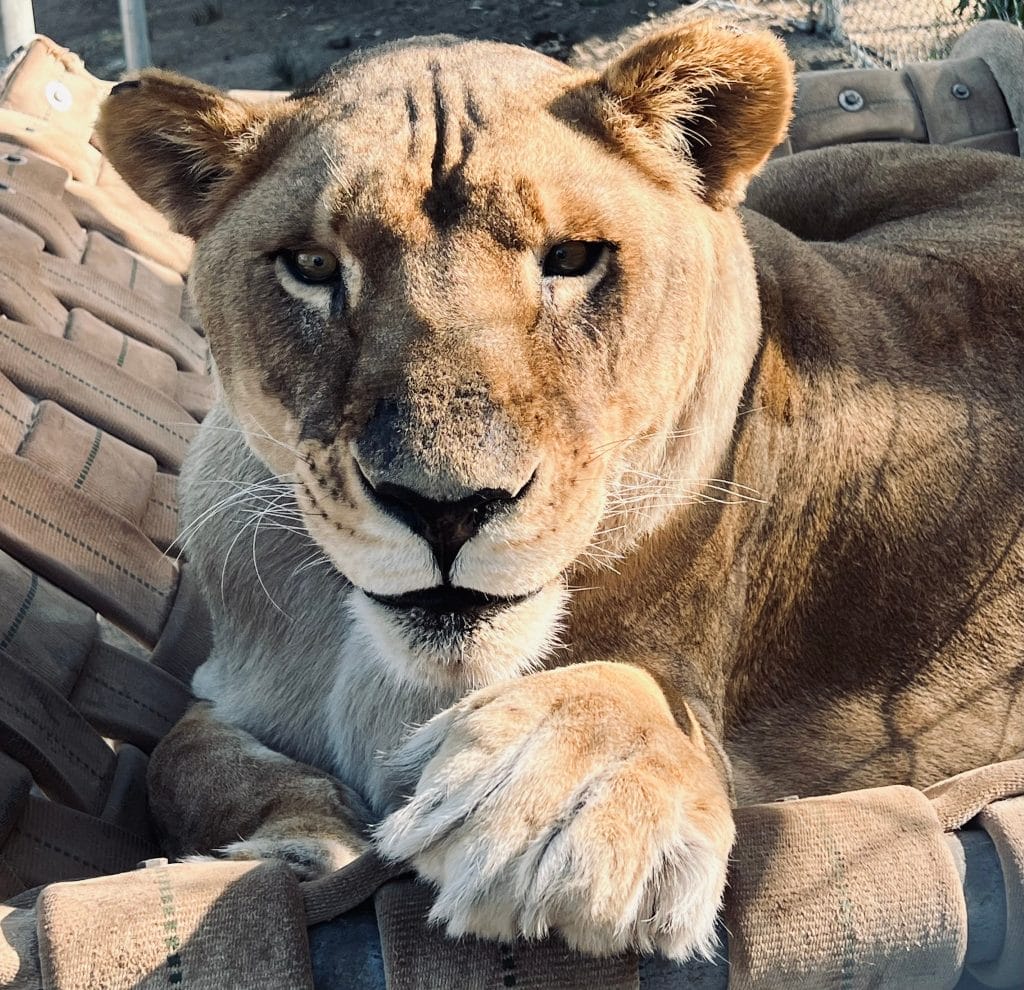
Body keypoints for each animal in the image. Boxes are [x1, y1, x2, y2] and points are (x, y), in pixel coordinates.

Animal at [96, 22, 1024, 961]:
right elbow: (183, 761)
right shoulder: (220, 690)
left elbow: (644, 699)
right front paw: (299, 847)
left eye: (572, 259)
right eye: (313, 265)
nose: (446, 508)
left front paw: (559, 799)